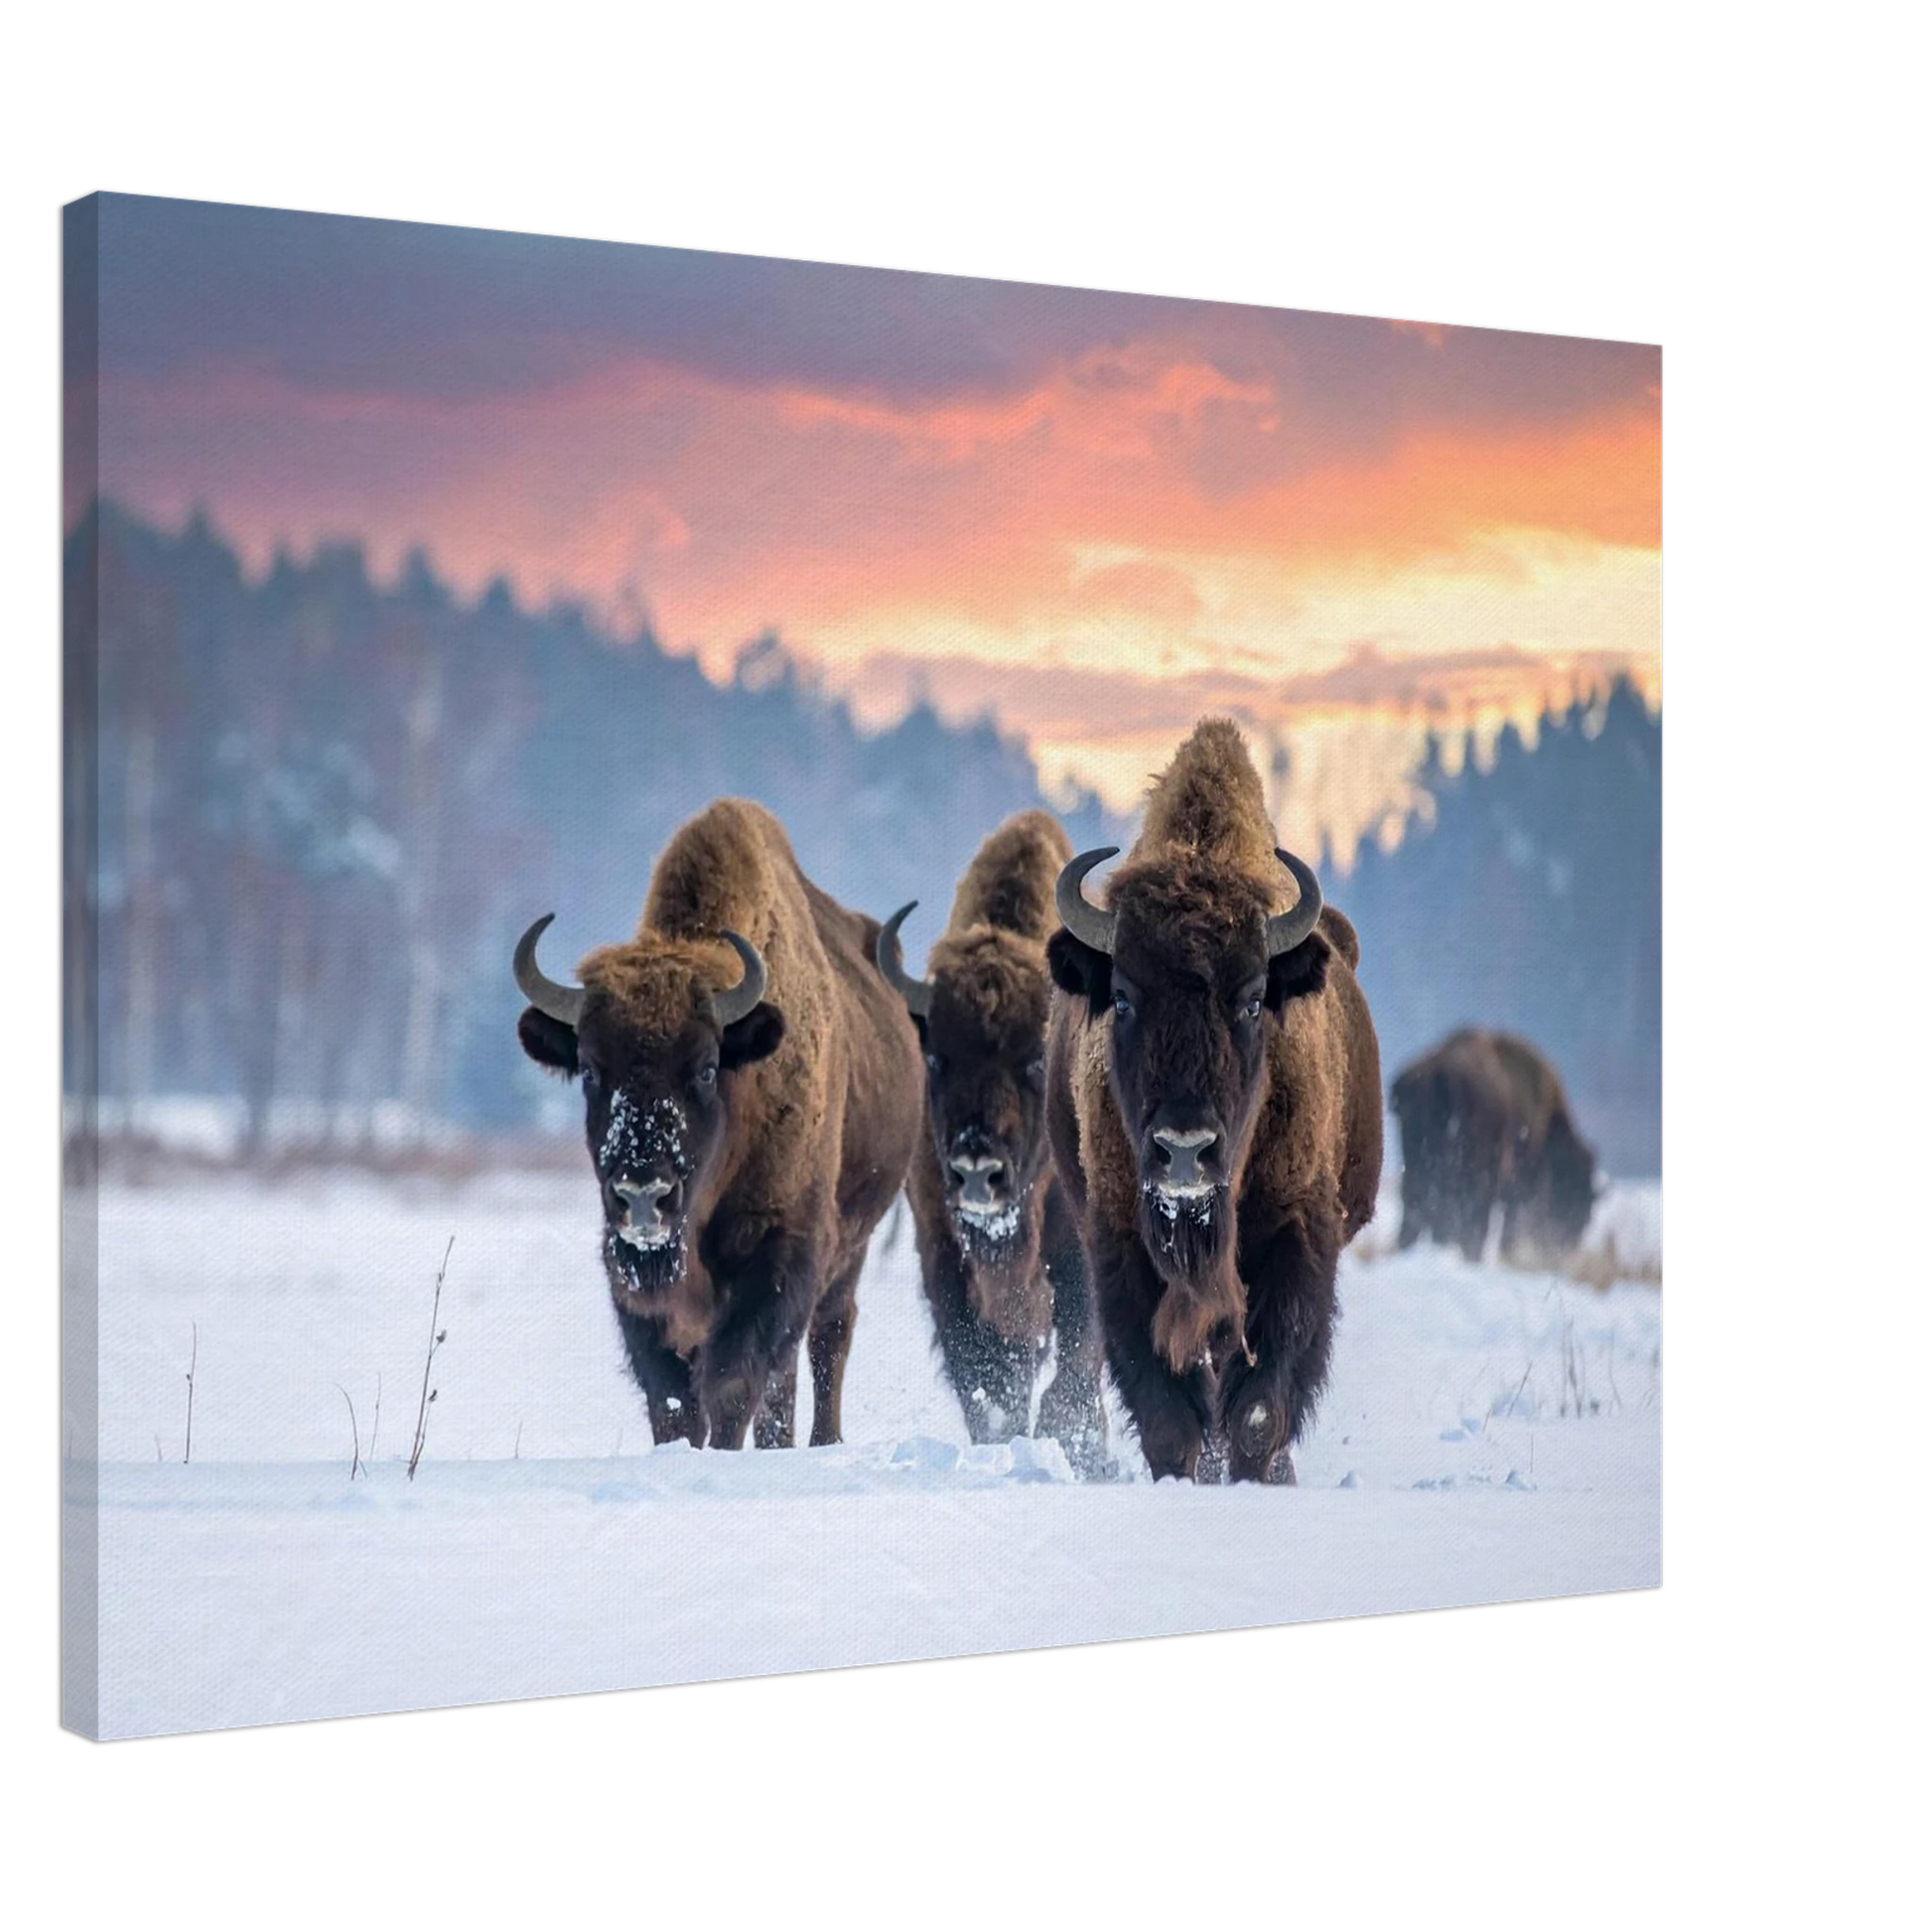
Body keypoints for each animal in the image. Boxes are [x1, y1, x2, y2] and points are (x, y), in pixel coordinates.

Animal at [514, 798, 925, 1450]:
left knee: (828, 1339)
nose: (643, 1196)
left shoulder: (781, 1251)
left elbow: (733, 1382)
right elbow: (673, 1397)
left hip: (853, 1245)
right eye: (590, 1070)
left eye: (706, 1068)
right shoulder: (629, 1273)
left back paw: (823, 1441)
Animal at [875, 810, 1108, 1477]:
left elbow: (1078, 1355)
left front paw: (1077, 1447)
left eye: (1036, 1059)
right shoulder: (942, 1256)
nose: (977, 1172)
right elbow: (986, 1374)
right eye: (936, 1057)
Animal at [1044, 719, 1383, 1484]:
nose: (1184, 1152)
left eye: (1254, 999)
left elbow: (1258, 1407)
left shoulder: (1295, 1237)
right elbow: (1169, 1414)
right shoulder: (1122, 1247)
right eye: (1122, 996)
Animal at [1389, 1029, 1602, 1267]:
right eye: (1574, 1195)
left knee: (1416, 1209)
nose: (1567, 1245)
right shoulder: (1517, 1186)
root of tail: (1439, 1075)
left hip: (1416, 1166)